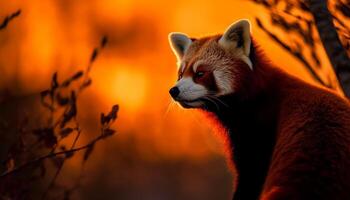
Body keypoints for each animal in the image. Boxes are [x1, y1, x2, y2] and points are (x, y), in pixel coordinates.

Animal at [168, 19, 350, 200]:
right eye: (181, 74)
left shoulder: (259, 133)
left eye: (200, 74)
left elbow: (251, 175)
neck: (258, 96)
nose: (174, 90)